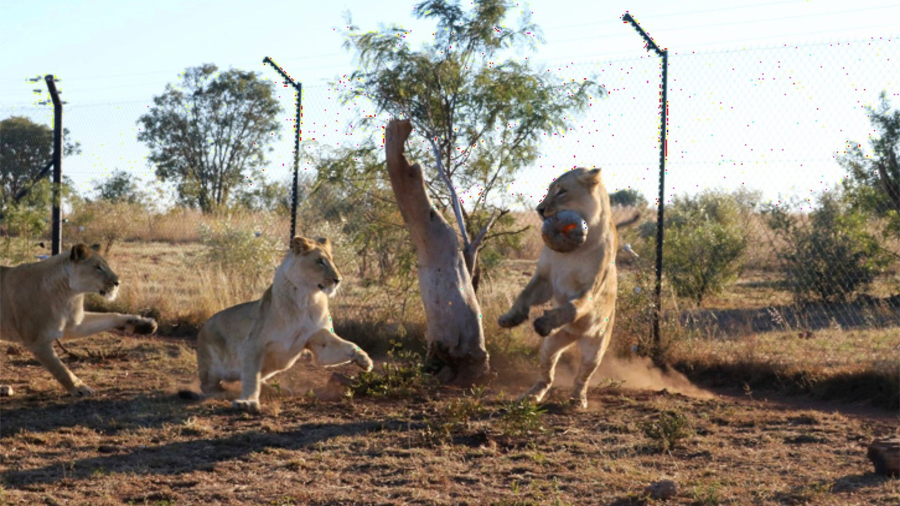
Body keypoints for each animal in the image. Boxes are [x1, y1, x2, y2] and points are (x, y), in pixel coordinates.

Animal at [0, 244, 157, 396]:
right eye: (98, 267)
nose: (117, 282)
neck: (69, 295)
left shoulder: (74, 325)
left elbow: (111, 316)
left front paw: (144, 325)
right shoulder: (37, 341)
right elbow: (60, 368)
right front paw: (80, 388)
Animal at [185, 235, 374, 414]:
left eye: (332, 260)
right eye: (320, 261)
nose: (338, 280)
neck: (307, 298)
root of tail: (203, 326)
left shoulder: (319, 341)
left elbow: (347, 346)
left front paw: (365, 360)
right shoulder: (253, 345)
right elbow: (251, 378)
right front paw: (248, 403)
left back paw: (276, 390)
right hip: (211, 365)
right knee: (209, 385)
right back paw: (221, 392)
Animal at [496, 168, 628, 410]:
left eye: (562, 191)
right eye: (549, 190)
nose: (539, 209)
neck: (573, 250)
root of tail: (574, 336)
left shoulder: (590, 290)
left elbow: (572, 308)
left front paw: (545, 322)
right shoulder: (544, 279)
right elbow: (524, 295)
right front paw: (510, 318)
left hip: (596, 348)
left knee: (583, 376)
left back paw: (578, 399)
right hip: (550, 344)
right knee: (546, 375)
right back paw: (531, 396)